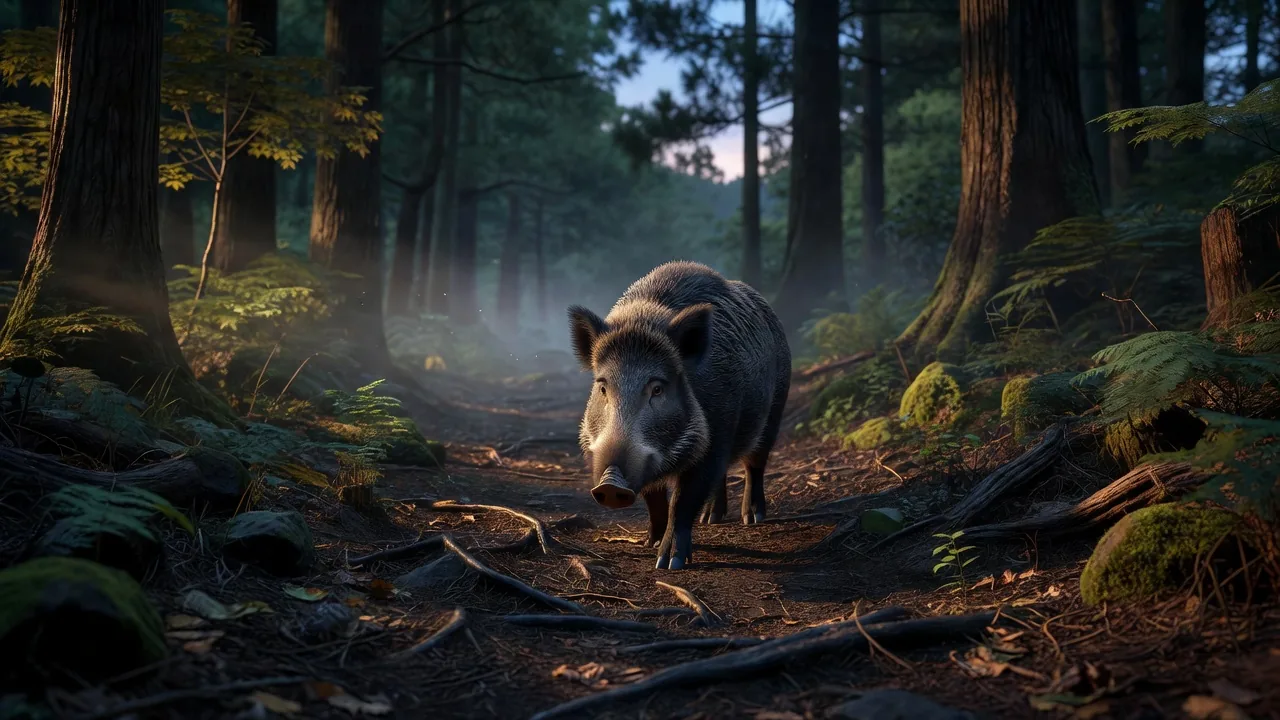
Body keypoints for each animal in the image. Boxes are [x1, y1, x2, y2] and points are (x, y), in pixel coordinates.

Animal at [567, 261, 792, 570]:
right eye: (603, 387)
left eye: (657, 388)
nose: (611, 483)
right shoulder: (649, 461)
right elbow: (654, 499)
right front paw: (650, 544)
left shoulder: (714, 437)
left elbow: (682, 501)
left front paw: (669, 563)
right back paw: (710, 519)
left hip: (775, 409)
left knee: (754, 464)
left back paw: (753, 518)